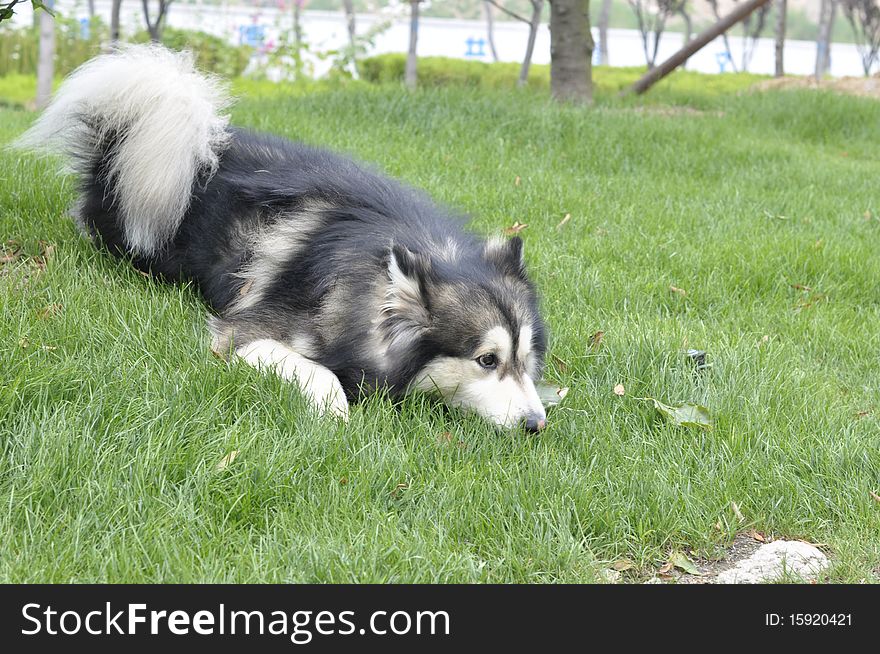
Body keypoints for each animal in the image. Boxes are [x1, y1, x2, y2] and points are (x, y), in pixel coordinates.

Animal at [15, 48, 552, 434]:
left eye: (526, 359)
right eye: (486, 360)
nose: (535, 424)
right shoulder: (243, 334)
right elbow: (321, 373)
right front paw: (336, 412)